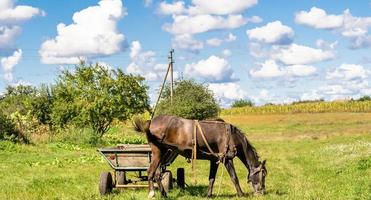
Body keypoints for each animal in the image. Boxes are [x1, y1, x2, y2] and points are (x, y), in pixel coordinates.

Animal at [134, 115, 268, 198]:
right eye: (262, 174)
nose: (262, 192)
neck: (231, 136)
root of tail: (151, 122)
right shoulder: (227, 159)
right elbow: (234, 177)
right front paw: (241, 194)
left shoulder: (215, 160)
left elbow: (212, 178)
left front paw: (209, 194)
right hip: (158, 152)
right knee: (150, 172)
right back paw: (152, 193)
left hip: (163, 153)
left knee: (157, 174)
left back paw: (164, 194)